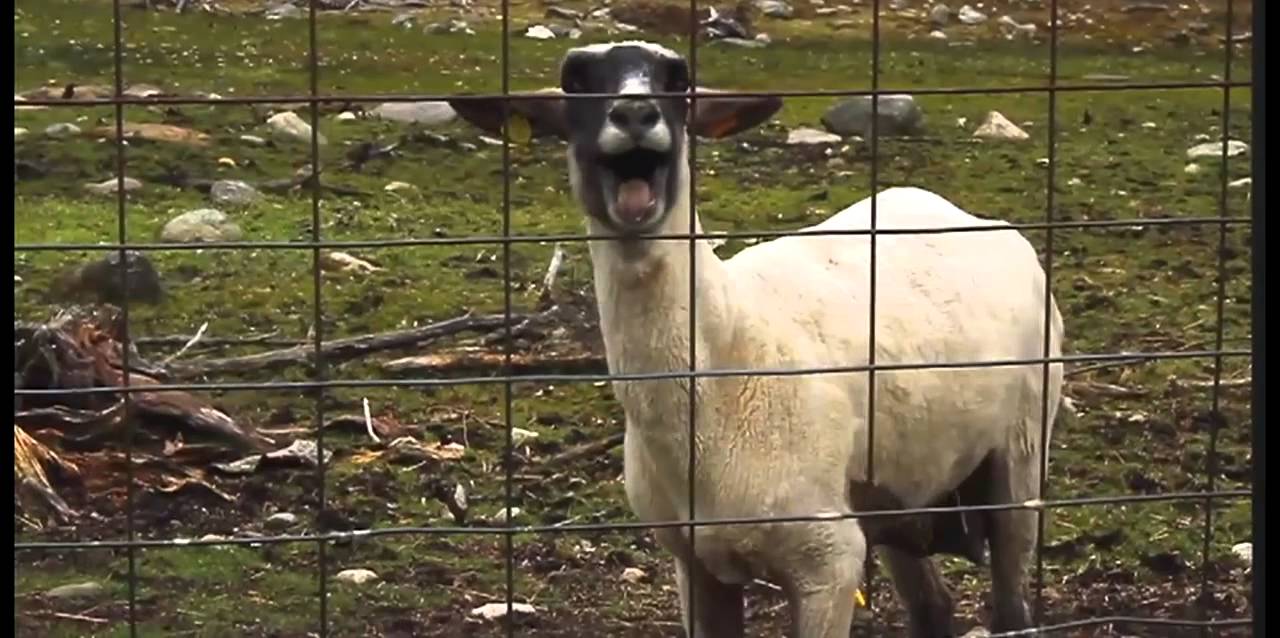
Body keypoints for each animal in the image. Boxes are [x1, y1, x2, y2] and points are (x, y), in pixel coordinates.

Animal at [448, 41, 1065, 638]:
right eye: (576, 80)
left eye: (678, 78)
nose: (634, 113)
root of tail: (960, 211)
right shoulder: (695, 565)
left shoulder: (829, 561)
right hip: (904, 488)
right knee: (933, 609)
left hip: (1021, 451)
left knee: (1013, 605)